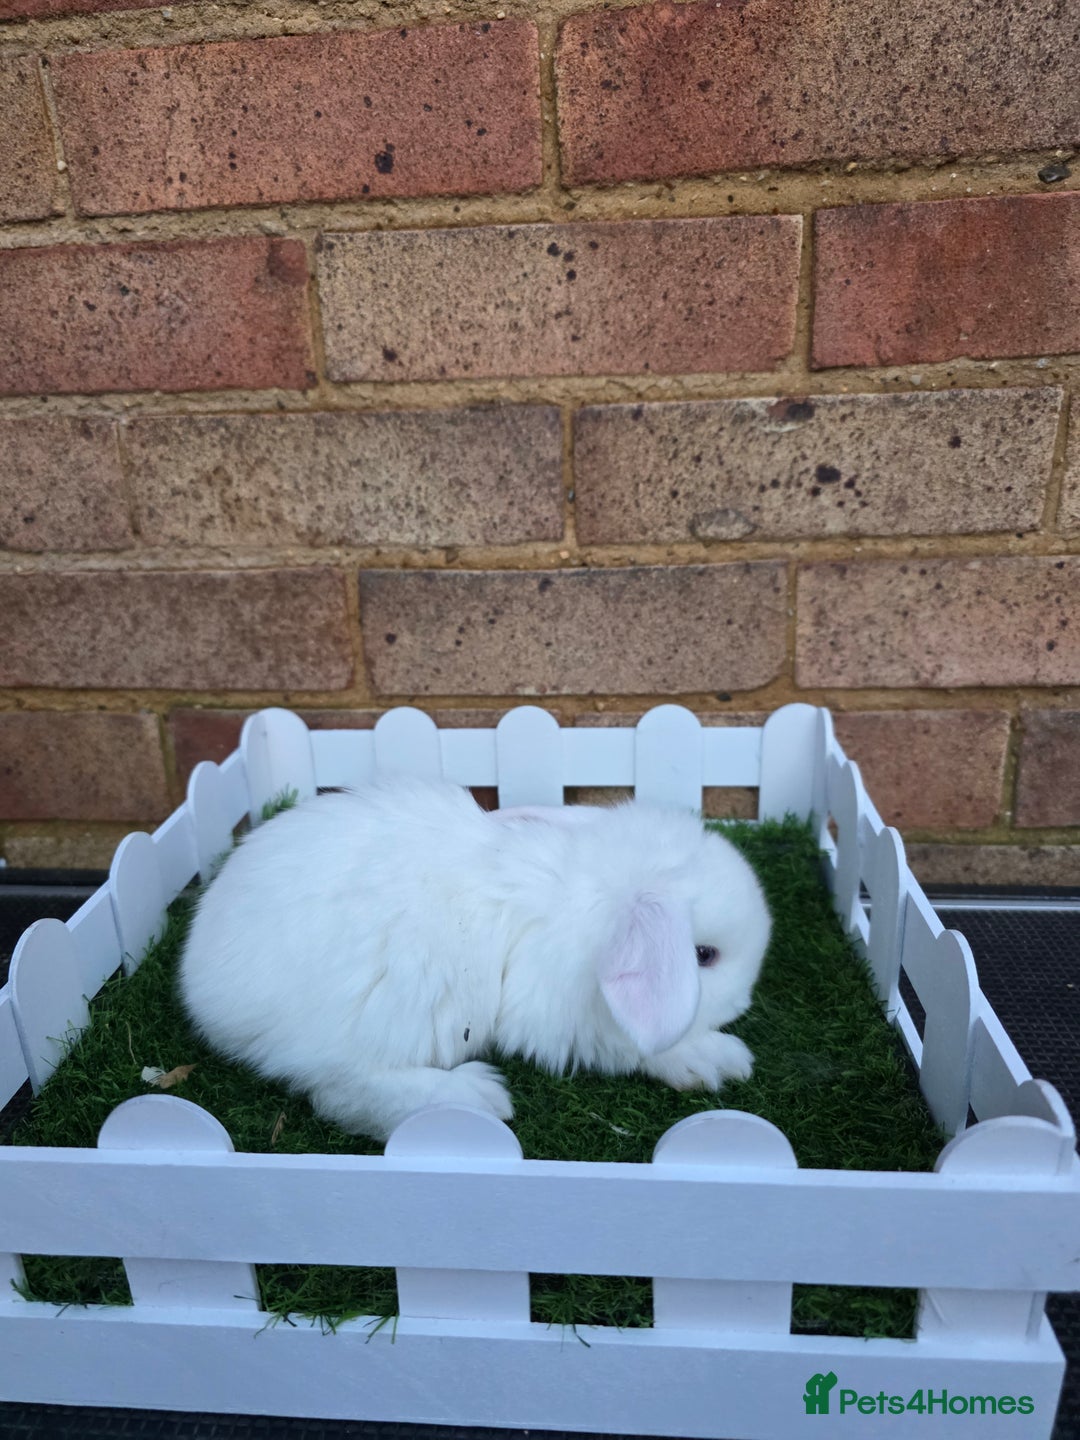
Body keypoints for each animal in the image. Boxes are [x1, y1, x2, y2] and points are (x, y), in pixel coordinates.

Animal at [178, 775, 771, 1141]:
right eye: (704, 955)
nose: (744, 1004)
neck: (585, 901)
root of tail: (204, 985)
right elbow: (637, 1047)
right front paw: (716, 1058)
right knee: (340, 1090)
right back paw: (475, 1097)